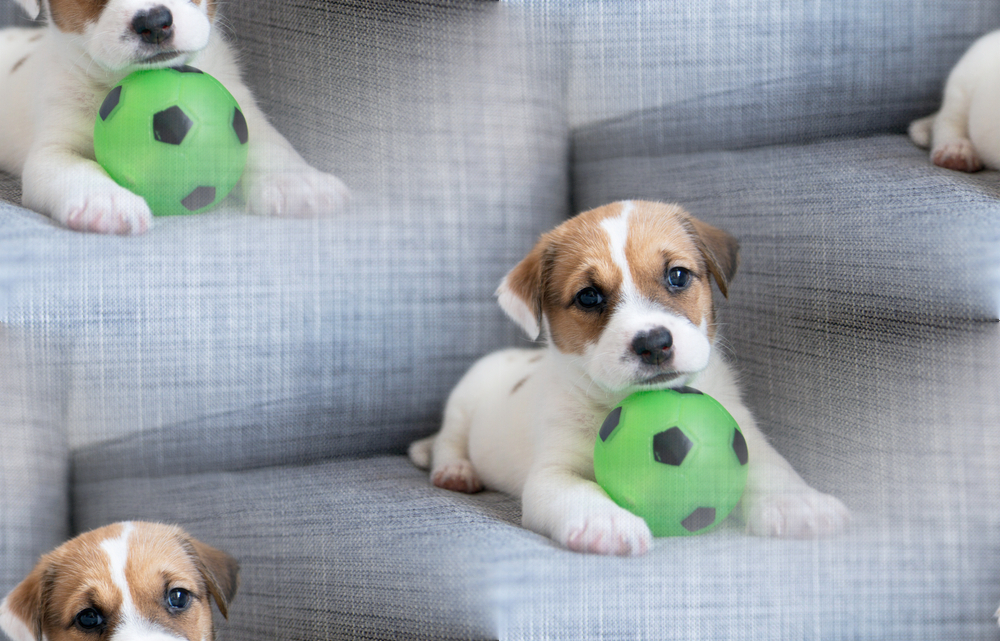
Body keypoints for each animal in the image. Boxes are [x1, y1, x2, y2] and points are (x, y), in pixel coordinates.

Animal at [0, 0, 352, 235]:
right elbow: (75, 168)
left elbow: (271, 147)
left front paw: (295, 181)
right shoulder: (53, 147)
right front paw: (106, 199)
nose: (155, 23)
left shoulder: (243, 112)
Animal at [410, 201, 848, 556]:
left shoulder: (744, 434)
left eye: (677, 276)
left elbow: (771, 466)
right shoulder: (552, 471)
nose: (653, 343)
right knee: (449, 440)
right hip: (464, 402)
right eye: (588, 296)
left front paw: (797, 503)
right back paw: (455, 470)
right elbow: (579, 490)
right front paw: (606, 521)